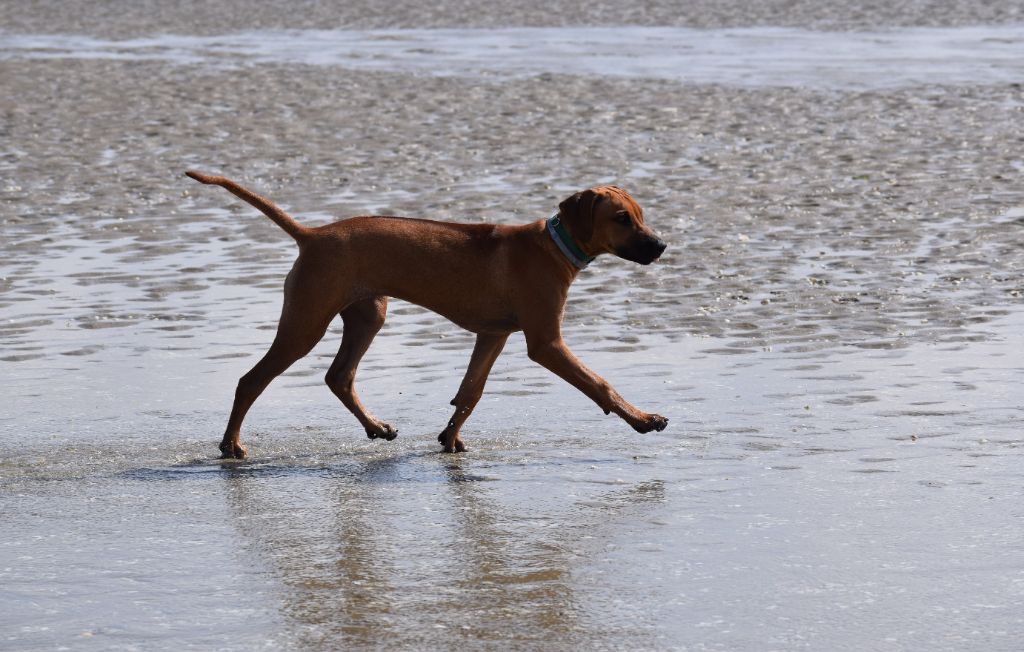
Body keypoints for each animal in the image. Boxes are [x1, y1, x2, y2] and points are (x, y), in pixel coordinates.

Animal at [185, 171, 671, 458]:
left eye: (641, 215)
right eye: (621, 218)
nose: (661, 246)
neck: (553, 246)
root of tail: (312, 235)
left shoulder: (492, 335)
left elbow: (470, 392)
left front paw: (450, 438)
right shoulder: (546, 343)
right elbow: (600, 384)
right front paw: (643, 419)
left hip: (368, 315)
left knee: (339, 376)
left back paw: (376, 427)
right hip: (305, 322)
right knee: (252, 380)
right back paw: (231, 445)